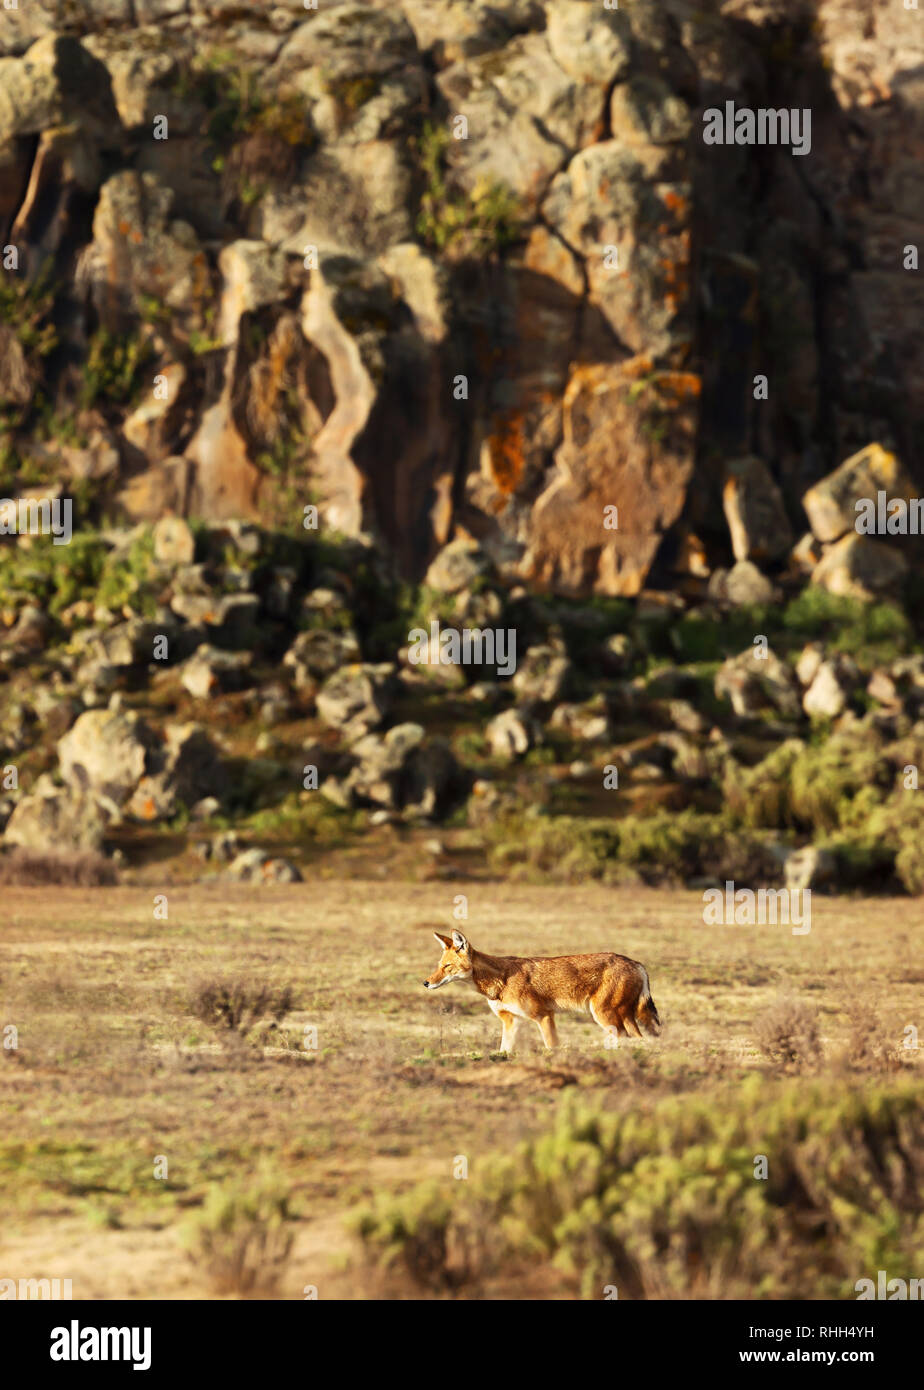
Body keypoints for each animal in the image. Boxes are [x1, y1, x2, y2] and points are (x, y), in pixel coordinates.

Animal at [422, 934, 658, 1050]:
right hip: (622, 1018)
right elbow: (504, 1051)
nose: (425, 982)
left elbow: (551, 1047)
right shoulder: (512, 1021)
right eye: (438, 965)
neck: (501, 981)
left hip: (605, 1017)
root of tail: (637, 964)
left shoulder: (544, 1016)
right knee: (640, 1039)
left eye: (447, 967)